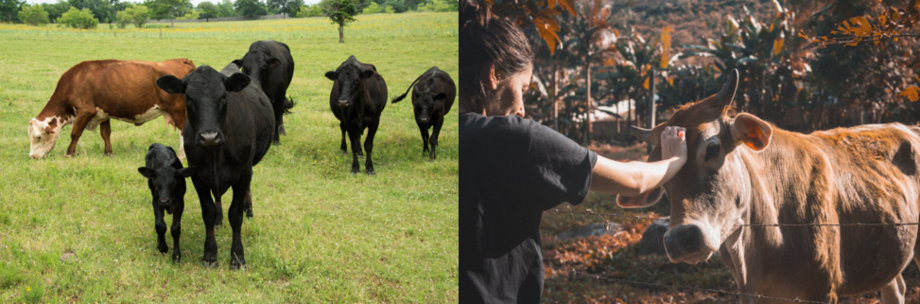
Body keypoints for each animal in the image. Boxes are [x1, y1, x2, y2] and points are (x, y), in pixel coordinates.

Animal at [28, 58, 196, 159]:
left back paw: (182, 156)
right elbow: (105, 134)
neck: (74, 81)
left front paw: (69, 153)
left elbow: (75, 133)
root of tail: (181, 60)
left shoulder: (85, 111)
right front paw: (108, 153)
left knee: (183, 131)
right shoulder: (104, 113)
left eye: (38, 137)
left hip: (177, 110)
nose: (32, 157)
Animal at [155, 63, 274, 268]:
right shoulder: (196, 174)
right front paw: (210, 254)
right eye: (188, 97)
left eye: (224, 95)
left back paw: (249, 211)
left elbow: (235, 215)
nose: (209, 137)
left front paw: (237, 257)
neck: (215, 154)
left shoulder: (244, 172)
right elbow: (208, 212)